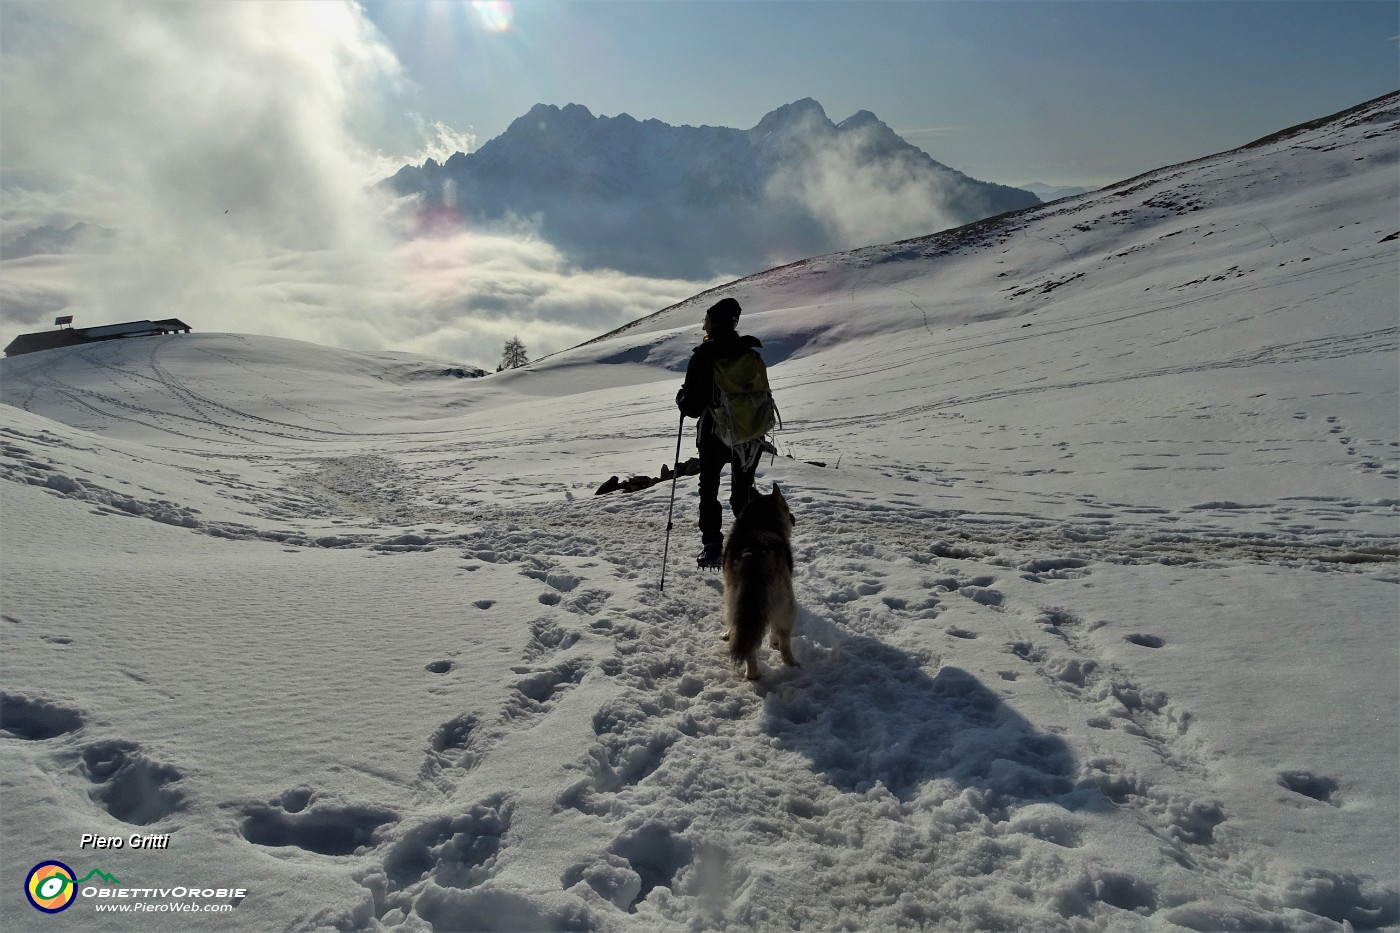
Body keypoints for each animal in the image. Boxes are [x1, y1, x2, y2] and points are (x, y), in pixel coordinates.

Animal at [722, 487, 800, 675]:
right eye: (786, 507)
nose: (793, 518)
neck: (758, 521)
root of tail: (754, 553)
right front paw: (774, 643)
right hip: (787, 605)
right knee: (784, 639)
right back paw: (791, 663)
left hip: (736, 601)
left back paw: (751, 674)